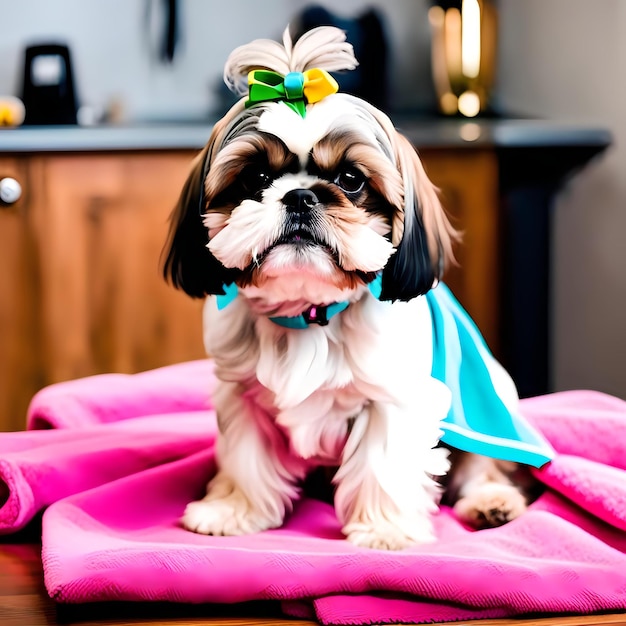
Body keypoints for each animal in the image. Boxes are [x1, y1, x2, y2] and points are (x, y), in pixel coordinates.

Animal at [162, 26, 552, 548]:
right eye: (257, 177)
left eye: (350, 179)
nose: (300, 196)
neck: (309, 313)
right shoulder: (241, 397)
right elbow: (247, 459)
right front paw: (234, 509)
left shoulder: (395, 397)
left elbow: (381, 462)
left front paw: (384, 529)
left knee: (483, 466)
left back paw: (492, 502)